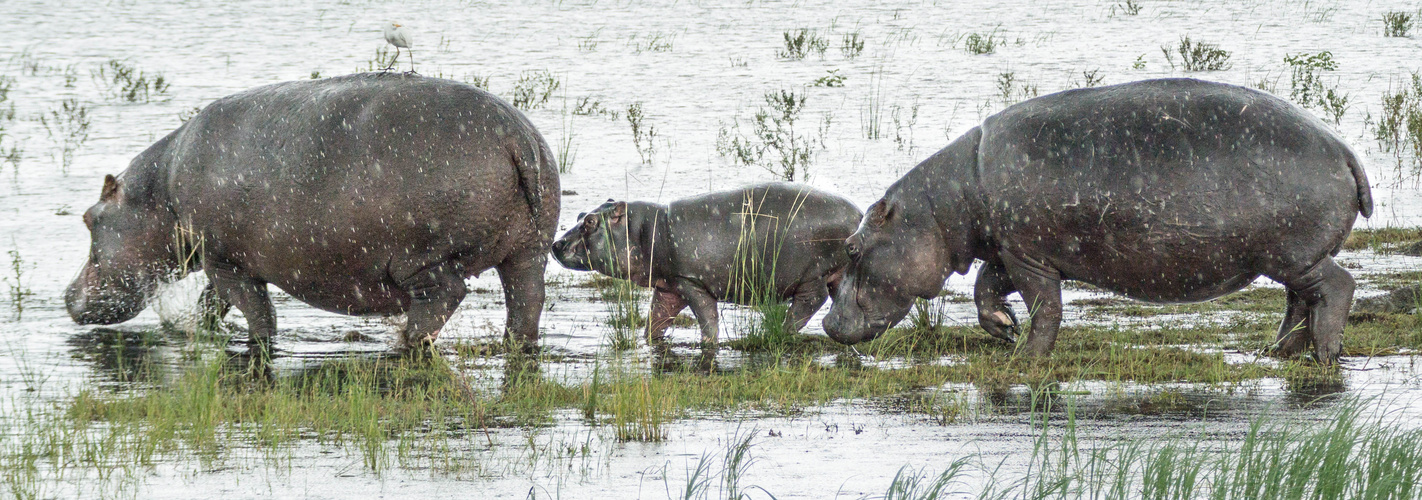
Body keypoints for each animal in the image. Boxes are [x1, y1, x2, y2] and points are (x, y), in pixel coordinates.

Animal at [66, 72, 557, 349]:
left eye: (90, 218)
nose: (68, 295)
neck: (158, 193)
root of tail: (515, 134)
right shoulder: (221, 260)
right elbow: (212, 304)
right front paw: (197, 329)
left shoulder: (226, 261)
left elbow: (256, 311)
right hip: (528, 249)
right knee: (527, 301)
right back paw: (515, 343)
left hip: (421, 256)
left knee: (444, 296)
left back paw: (407, 340)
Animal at [548, 183, 858, 343]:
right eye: (580, 214)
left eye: (590, 223)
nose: (555, 244)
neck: (644, 230)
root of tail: (857, 217)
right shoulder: (668, 287)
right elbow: (655, 320)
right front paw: (649, 341)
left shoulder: (691, 283)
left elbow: (708, 320)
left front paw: (708, 343)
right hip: (840, 272)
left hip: (812, 273)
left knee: (811, 300)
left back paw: (784, 330)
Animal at [830, 80, 1370, 366]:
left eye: (853, 249)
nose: (830, 324)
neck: (943, 205)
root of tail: (1344, 149)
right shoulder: (1010, 246)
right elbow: (986, 287)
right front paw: (1004, 329)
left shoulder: (1028, 255)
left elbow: (1046, 308)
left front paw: (1026, 357)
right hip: (1289, 258)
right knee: (1299, 300)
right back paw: (1278, 352)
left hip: (1293, 254)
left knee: (1335, 286)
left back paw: (1326, 354)